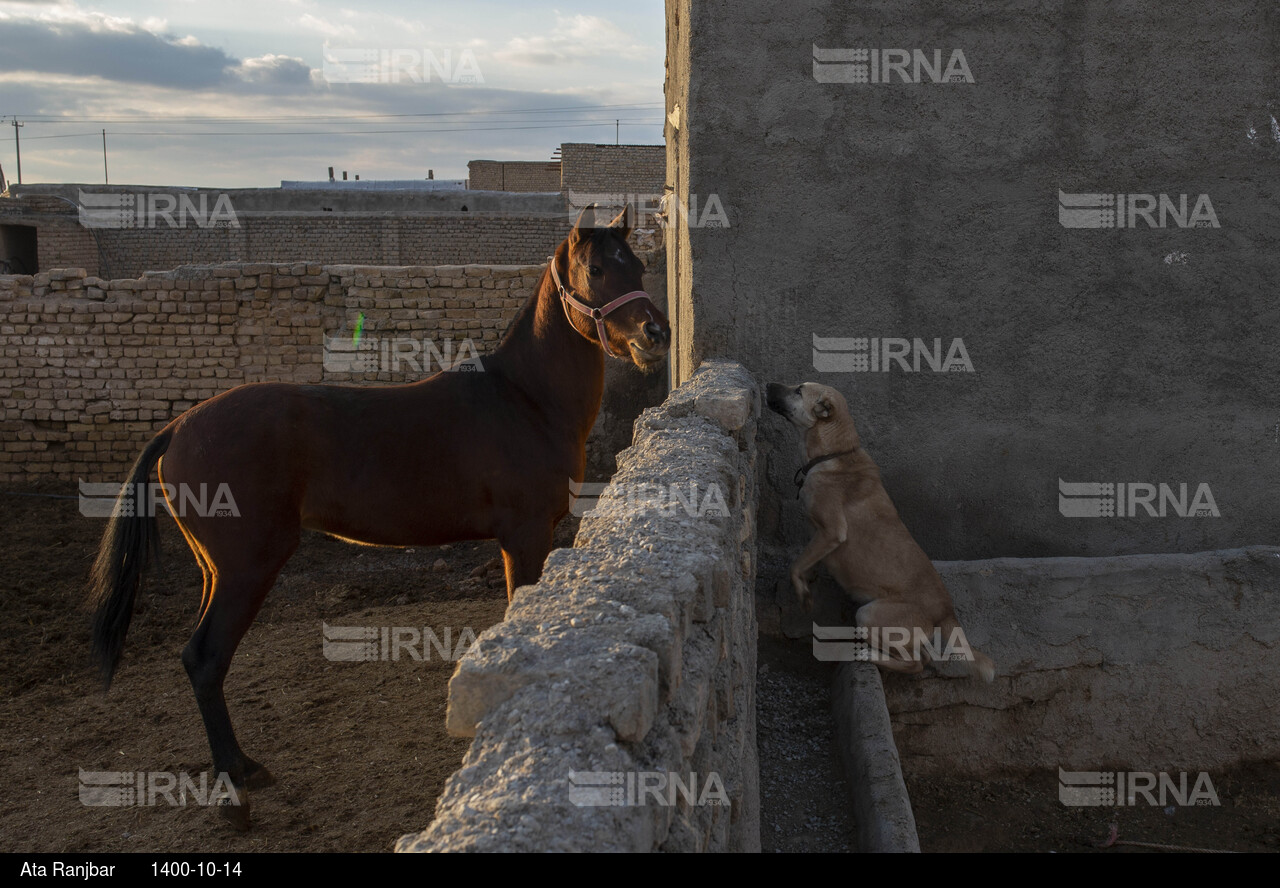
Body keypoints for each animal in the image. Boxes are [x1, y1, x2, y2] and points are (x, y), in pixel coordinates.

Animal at [88, 204, 670, 829]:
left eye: (637, 266)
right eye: (595, 269)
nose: (654, 334)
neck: (523, 401)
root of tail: (180, 426)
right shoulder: (525, 537)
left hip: (215, 571)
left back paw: (245, 769)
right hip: (248, 569)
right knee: (205, 658)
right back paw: (234, 797)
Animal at [762, 381, 993, 680]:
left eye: (799, 391)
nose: (767, 384)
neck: (836, 452)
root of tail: (945, 610)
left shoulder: (832, 531)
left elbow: (796, 564)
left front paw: (803, 592)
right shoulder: (820, 535)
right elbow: (807, 558)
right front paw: (808, 576)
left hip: (869, 615)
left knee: (916, 664)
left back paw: (868, 655)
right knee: (923, 657)